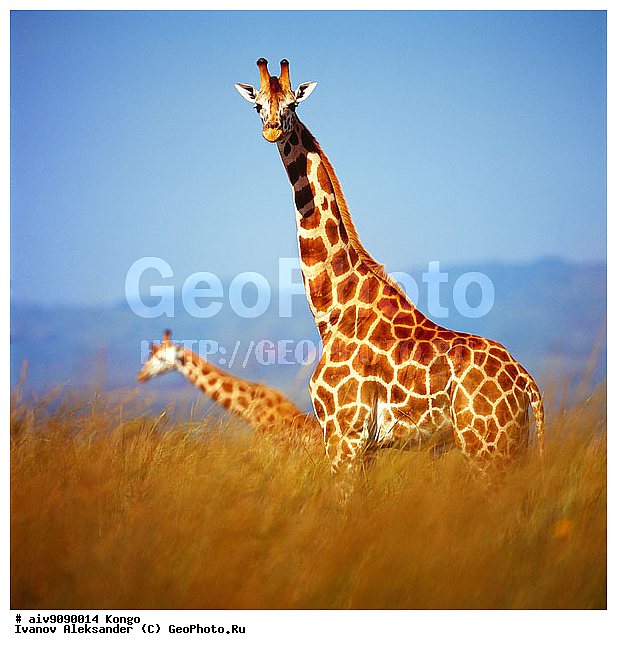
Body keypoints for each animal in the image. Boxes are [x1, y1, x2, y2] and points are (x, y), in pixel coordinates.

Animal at [235, 58, 545, 476]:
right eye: (258, 105)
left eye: (292, 105)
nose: (271, 129)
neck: (332, 310)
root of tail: (527, 383)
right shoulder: (361, 447)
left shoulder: (344, 435)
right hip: (510, 447)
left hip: (487, 447)